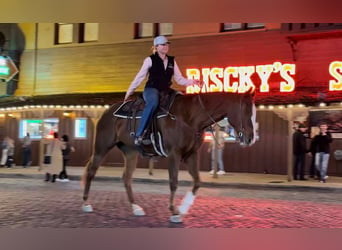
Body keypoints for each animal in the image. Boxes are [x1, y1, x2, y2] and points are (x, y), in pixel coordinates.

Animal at [81, 91, 255, 223]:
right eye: (246, 112)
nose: (250, 138)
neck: (189, 116)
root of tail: (107, 111)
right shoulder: (174, 154)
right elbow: (173, 182)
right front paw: (174, 211)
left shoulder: (191, 154)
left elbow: (197, 181)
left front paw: (183, 208)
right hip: (102, 147)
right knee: (91, 171)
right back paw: (86, 203)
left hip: (130, 152)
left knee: (126, 178)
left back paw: (136, 208)